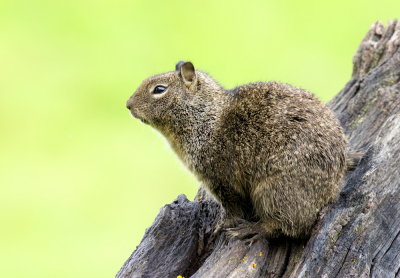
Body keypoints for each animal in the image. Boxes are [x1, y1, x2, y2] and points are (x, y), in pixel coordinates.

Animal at [126, 62, 360, 242]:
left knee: (286, 226)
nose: (128, 105)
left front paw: (220, 226)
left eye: (159, 89)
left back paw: (250, 230)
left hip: (272, 193)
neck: (205, 115)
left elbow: (231, 209)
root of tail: (329, 195)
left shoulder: (220, 180)